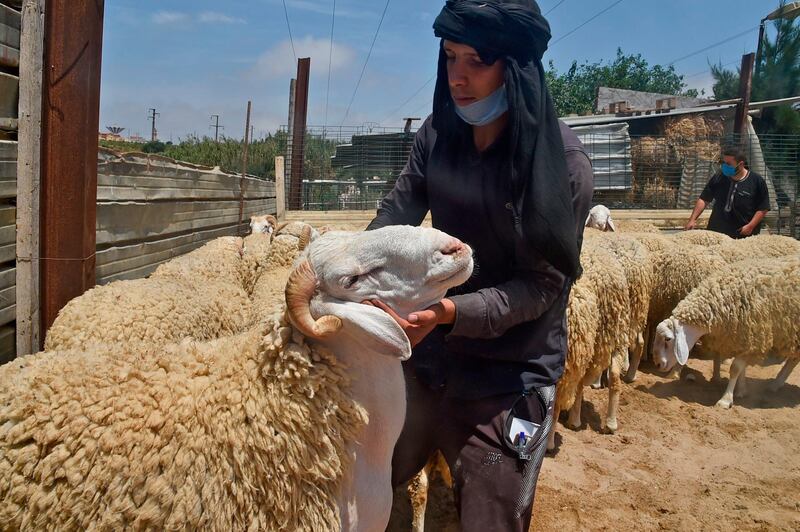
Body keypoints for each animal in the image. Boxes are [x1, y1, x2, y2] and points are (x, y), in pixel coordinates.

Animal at [652, 256, 796, 410]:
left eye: (668, 339)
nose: (658, 365)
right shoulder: (743, 339)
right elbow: (742, 368)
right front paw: (741, 390)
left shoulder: (751, 337)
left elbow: (735, 368)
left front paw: (726, 400)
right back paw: (775, 385)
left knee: (793, 360)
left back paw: (775, 384)